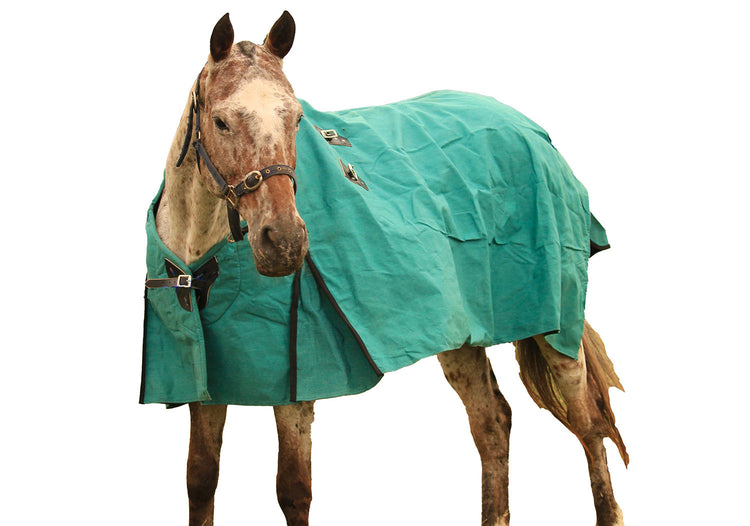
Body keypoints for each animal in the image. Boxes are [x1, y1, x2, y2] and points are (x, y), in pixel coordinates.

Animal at [145, 11, 628, 526]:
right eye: (220, 121)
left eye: (297, 119)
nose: (286, 243)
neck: (198, 259)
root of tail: (533, 130)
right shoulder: (204, 382)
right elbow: (201, 479)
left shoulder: (296, 385)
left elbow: (293, 490)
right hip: (462, 337)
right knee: (493, 423)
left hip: (557, 324)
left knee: (589, 425)